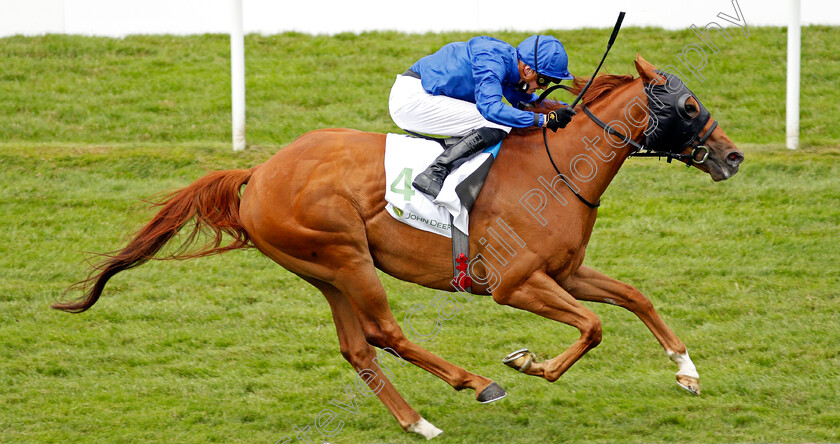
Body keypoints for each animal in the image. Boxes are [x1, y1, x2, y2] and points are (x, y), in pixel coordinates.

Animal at [55, 56, 744, 440]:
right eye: (689, 104)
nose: (733, 155)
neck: (555, 168)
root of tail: (260, 172)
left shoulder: (564, 273)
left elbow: (633, 297)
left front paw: (686, 370)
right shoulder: (515, 284)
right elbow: (595, 326)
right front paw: (529, 363)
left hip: (325, 270)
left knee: (357, 346)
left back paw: (418, 422)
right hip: (344, 255)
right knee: (385, 331)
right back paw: (476, 384)